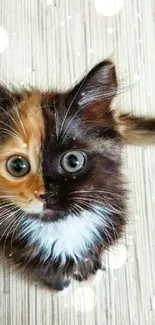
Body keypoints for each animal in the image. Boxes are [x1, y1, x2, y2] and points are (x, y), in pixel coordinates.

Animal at [0, 59, 154, 290]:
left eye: (72, 161)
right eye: (17, 166)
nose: (46, 195)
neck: (61, 227)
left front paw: (88, 271)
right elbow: (49, 272)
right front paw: (60, 285)